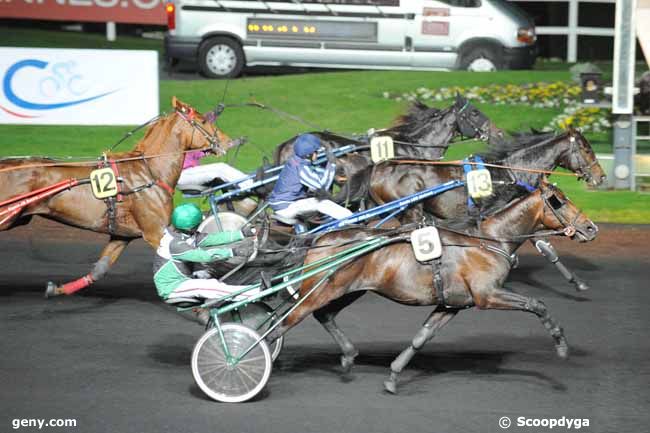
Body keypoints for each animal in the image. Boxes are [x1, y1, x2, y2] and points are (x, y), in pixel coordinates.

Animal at [0, 97, 235, 296]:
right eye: (203, 120)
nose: (229, 142)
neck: (149, 170)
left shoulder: (122, 235)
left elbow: (100, 269)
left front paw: (58, 290)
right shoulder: (156, 232)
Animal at [266, 181, 596, 394]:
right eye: (560, 201)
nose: (591, 227)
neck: (488, 241)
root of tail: (319, 238)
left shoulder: (452, 304)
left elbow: (421, 338)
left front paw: (394, 376)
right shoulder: (487, 296)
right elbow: (537, 304)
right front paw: (561, 344)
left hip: (349, 290)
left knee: (324, 316)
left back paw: (347, 356)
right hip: (322, 290)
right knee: (283, 323)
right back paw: (262, 358)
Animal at [362, 126, 604, 292]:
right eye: (586, 149)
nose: (601, 177)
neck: (509, 173)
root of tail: (378, 168)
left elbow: (544, 247)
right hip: (410, 210)